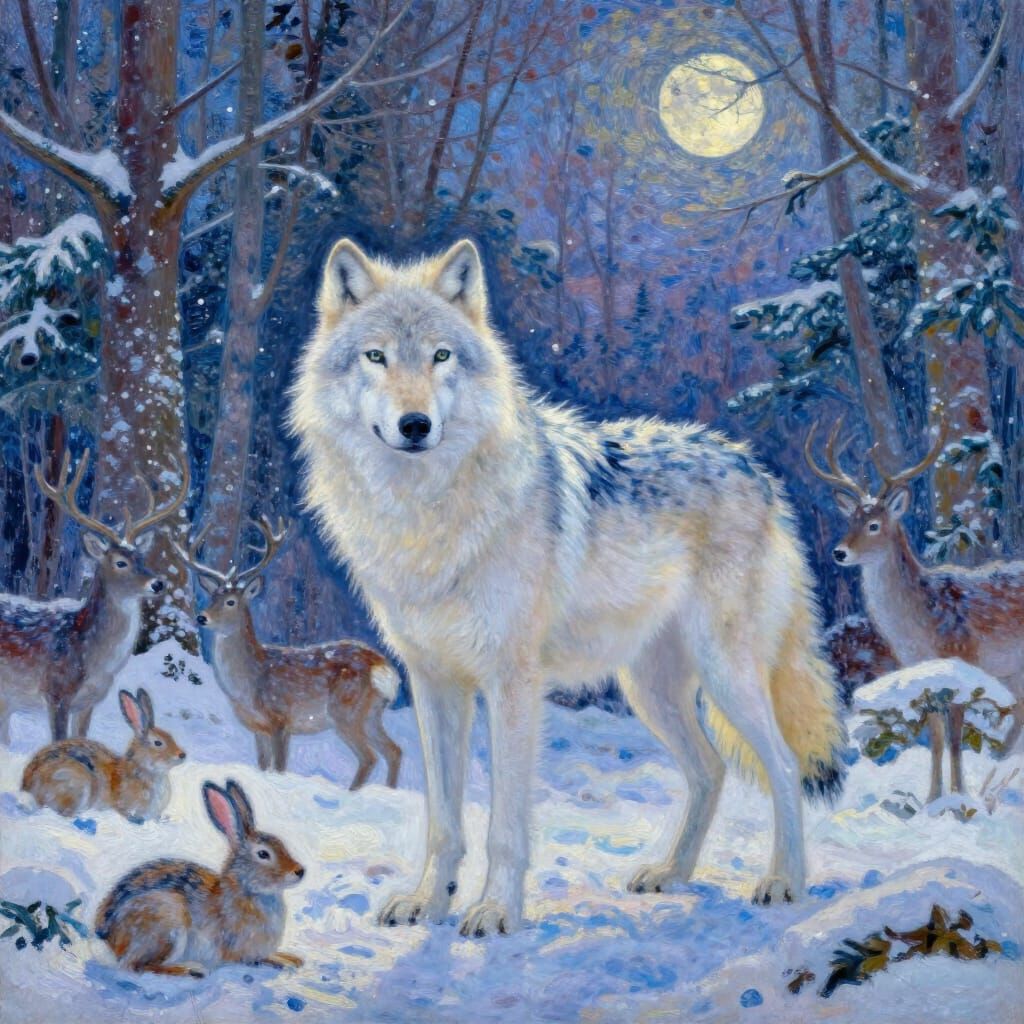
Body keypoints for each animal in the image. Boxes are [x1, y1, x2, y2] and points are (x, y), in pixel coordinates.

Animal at [289, 238, 845, 937]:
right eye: (376, 356)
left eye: (441, 356)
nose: (415, 424)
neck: (426, 515)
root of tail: (757, 469)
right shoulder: (433, 681)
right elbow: (443, 820)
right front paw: (428, 902)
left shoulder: (511, 681)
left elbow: (504, 825)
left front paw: (494, 911)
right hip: (651, 689)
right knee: (711, 769)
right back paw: (671, 874)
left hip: (728, 675)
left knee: (784, 765)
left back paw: (783, 881)